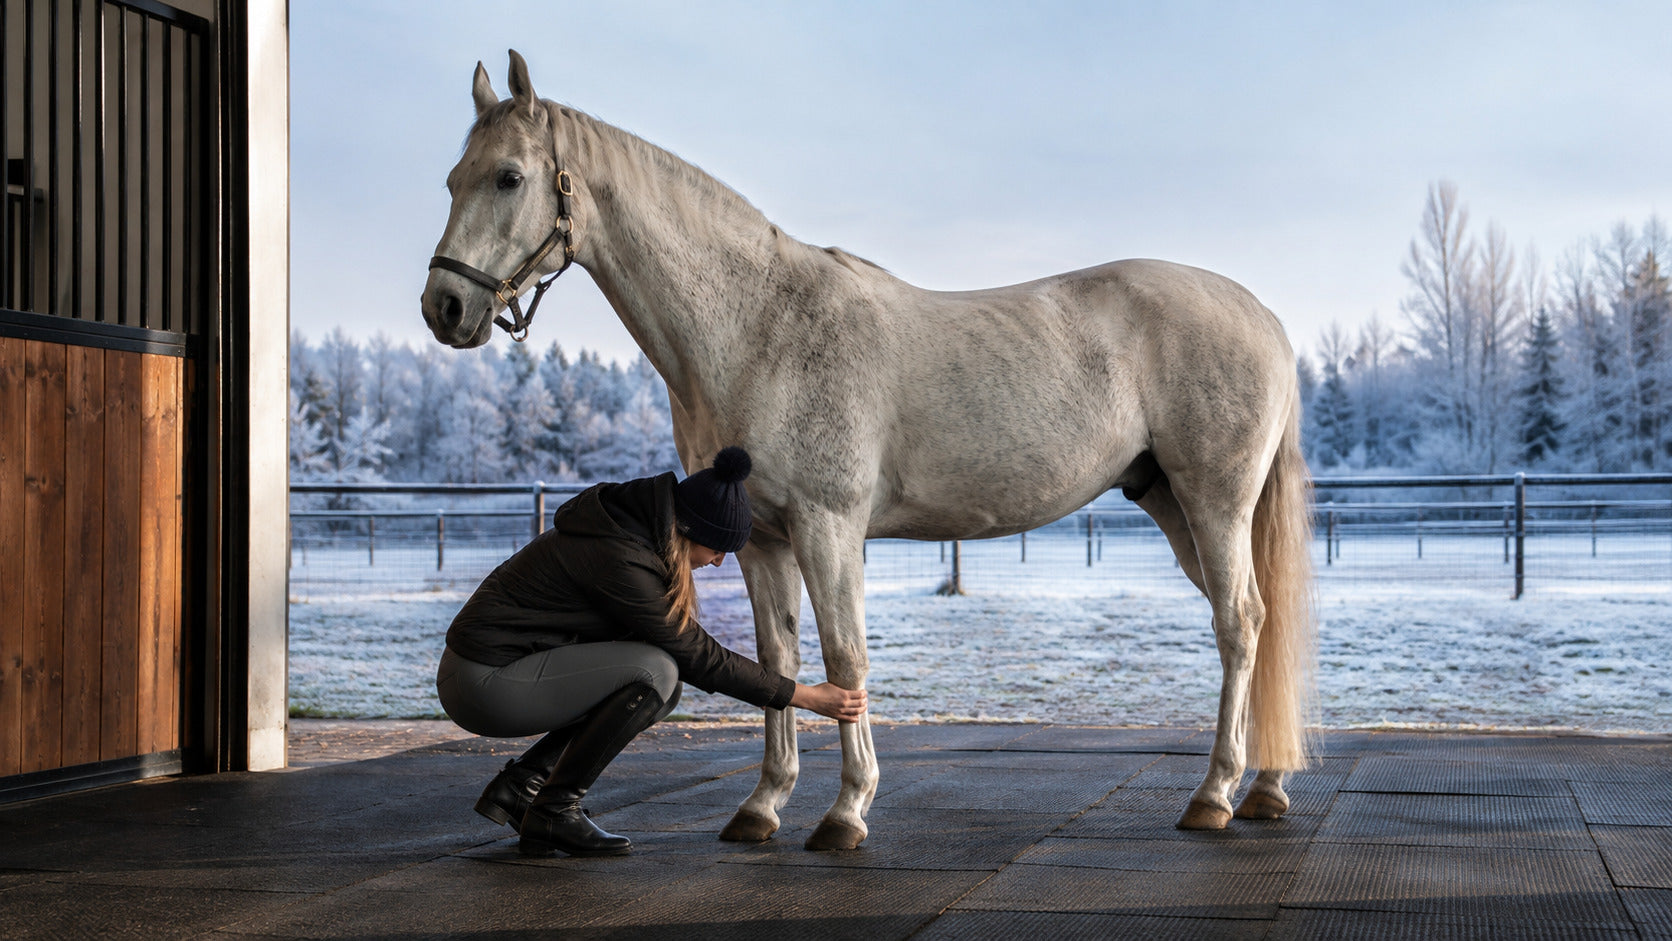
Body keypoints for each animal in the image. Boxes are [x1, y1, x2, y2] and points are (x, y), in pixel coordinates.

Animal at [420, 51, 1317, 850]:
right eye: (452, 179)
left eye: (509, 177)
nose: (445, 306)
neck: (760, 326)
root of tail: (1265, 315)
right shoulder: (763, 540)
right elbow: (776, 658)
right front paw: (763, 806)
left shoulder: (829, 527)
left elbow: (845, 658)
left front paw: (846, 811)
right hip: (1170, 501)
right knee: (1259, 622)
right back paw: (1266, 787)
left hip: (1213, 500)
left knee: (1239, 622)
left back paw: (1214, 794)